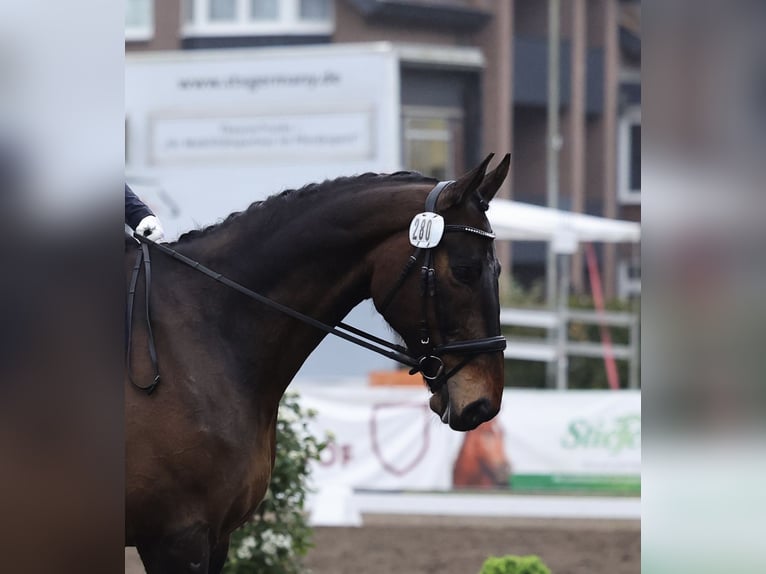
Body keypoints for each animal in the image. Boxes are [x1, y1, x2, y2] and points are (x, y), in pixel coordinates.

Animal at [125, 153, 510, 573]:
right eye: (464, 270)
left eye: (498, 269)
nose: (483, 404)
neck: (207, 327)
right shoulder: (179, 537)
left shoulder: (216, 537)